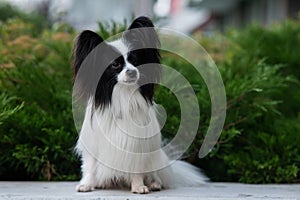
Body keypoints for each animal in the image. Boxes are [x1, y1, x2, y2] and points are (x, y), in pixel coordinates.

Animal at [72, 16, 206, 194]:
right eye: (115, 65)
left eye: (135, 60)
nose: (132, 71)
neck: (124, 95)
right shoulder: (95, 143)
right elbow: (91, 166)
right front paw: (86, 184)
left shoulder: (137, 145)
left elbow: (136, 169)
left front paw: (138, 187)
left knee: (154, 174)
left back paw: (154, 184)